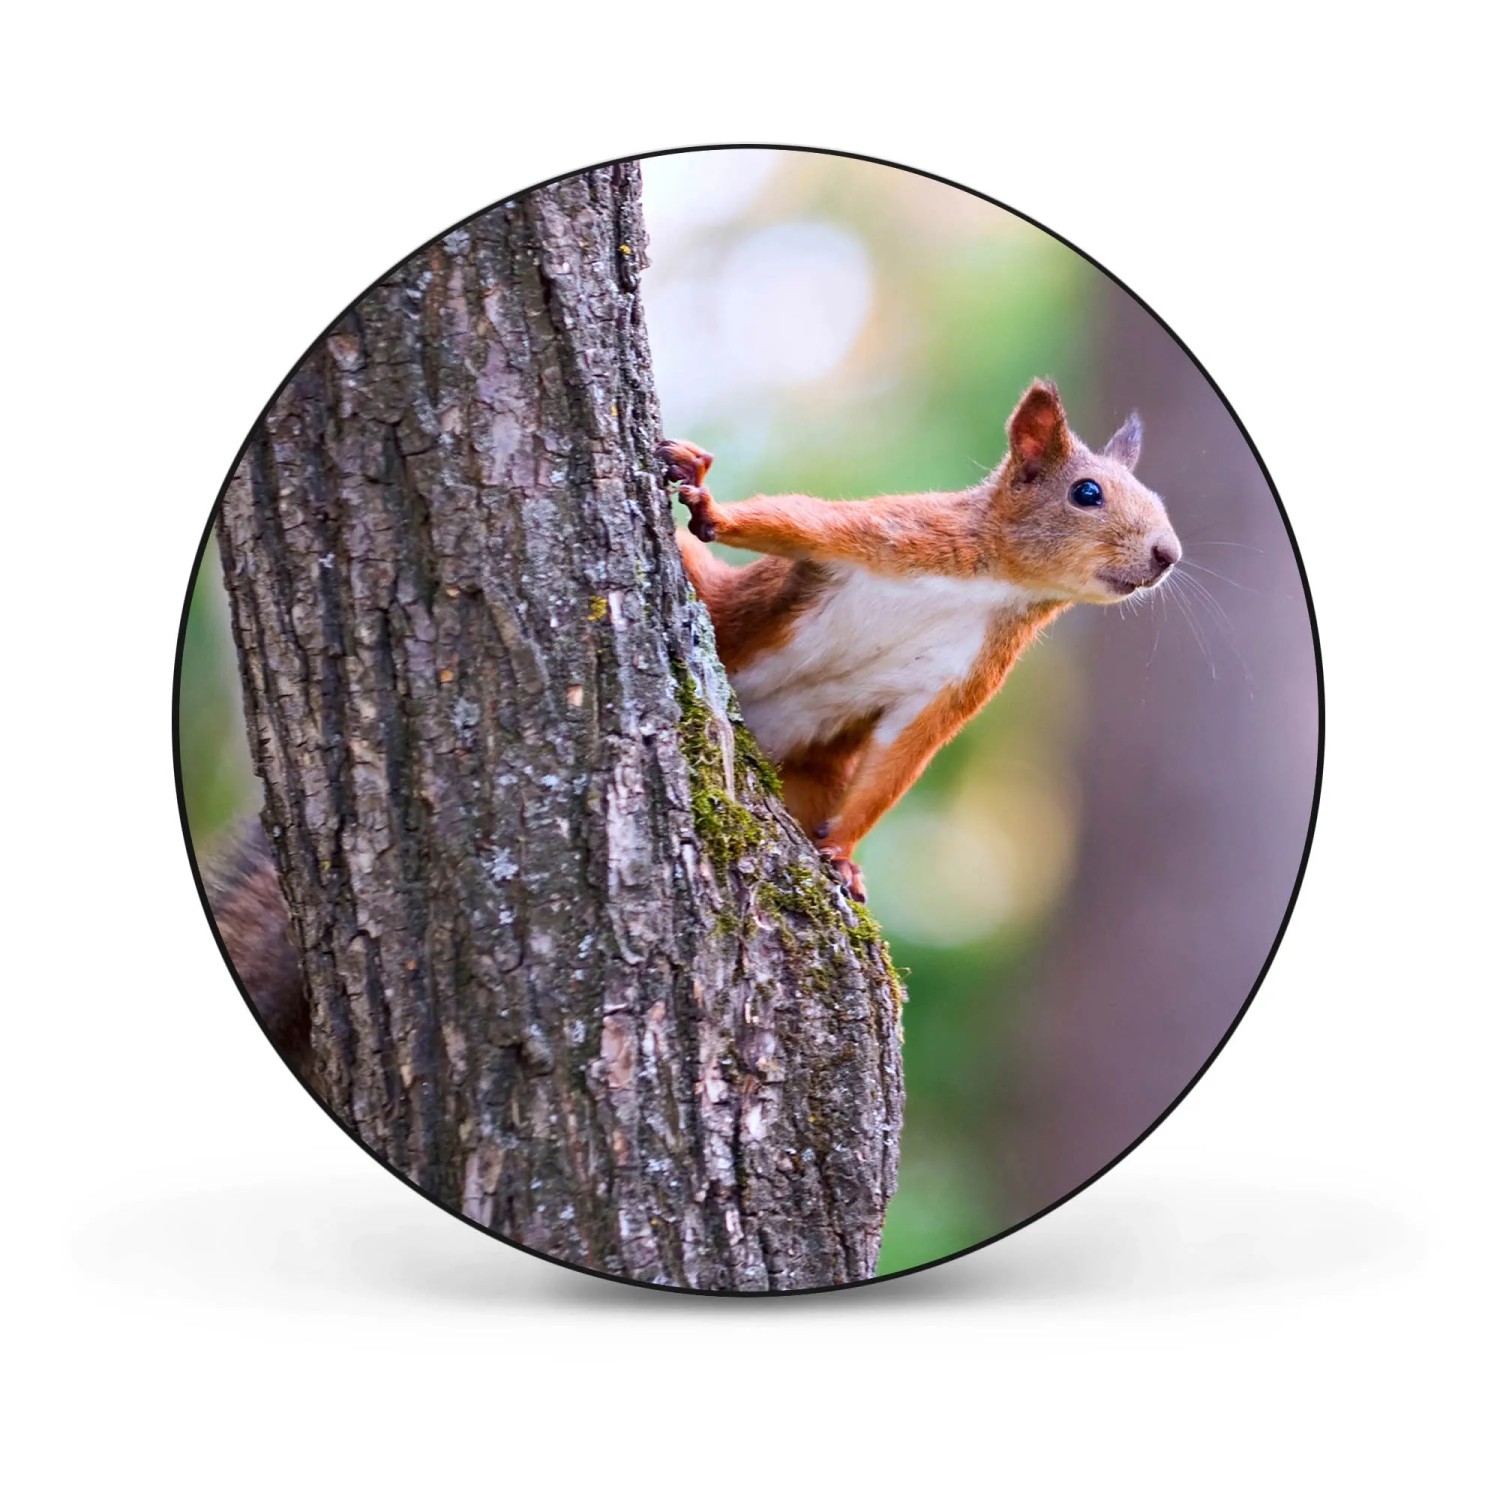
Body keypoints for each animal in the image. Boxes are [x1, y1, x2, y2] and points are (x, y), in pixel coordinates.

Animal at [656, 378, 1180, 900]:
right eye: (1086, 492)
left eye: (1157, 498)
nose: (1168, 554)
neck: (1000, 584)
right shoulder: (897, 533)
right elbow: (797, 521)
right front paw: (710, 507)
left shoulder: (967, 671)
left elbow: (903, 751)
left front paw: (842, 853)